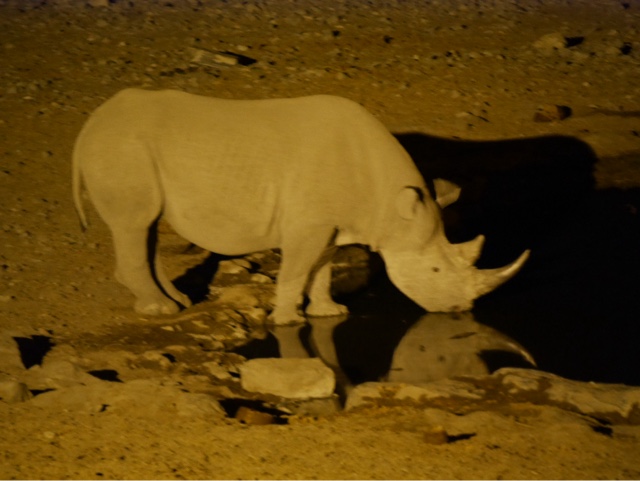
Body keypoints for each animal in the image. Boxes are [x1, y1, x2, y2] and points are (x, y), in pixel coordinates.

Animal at [72, 89, 529, 324]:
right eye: (435, 270)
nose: (460, 310)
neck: (389, 204)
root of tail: (91, 123)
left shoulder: (330, 224)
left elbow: (322, 268)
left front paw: (330, 312)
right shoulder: (307, 224)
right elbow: (295, 270)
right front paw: (288, 320)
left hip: (130, 151)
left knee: (145, 227)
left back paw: (177, 302)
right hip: (122, 149)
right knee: (134, 224)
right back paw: (160, 310)